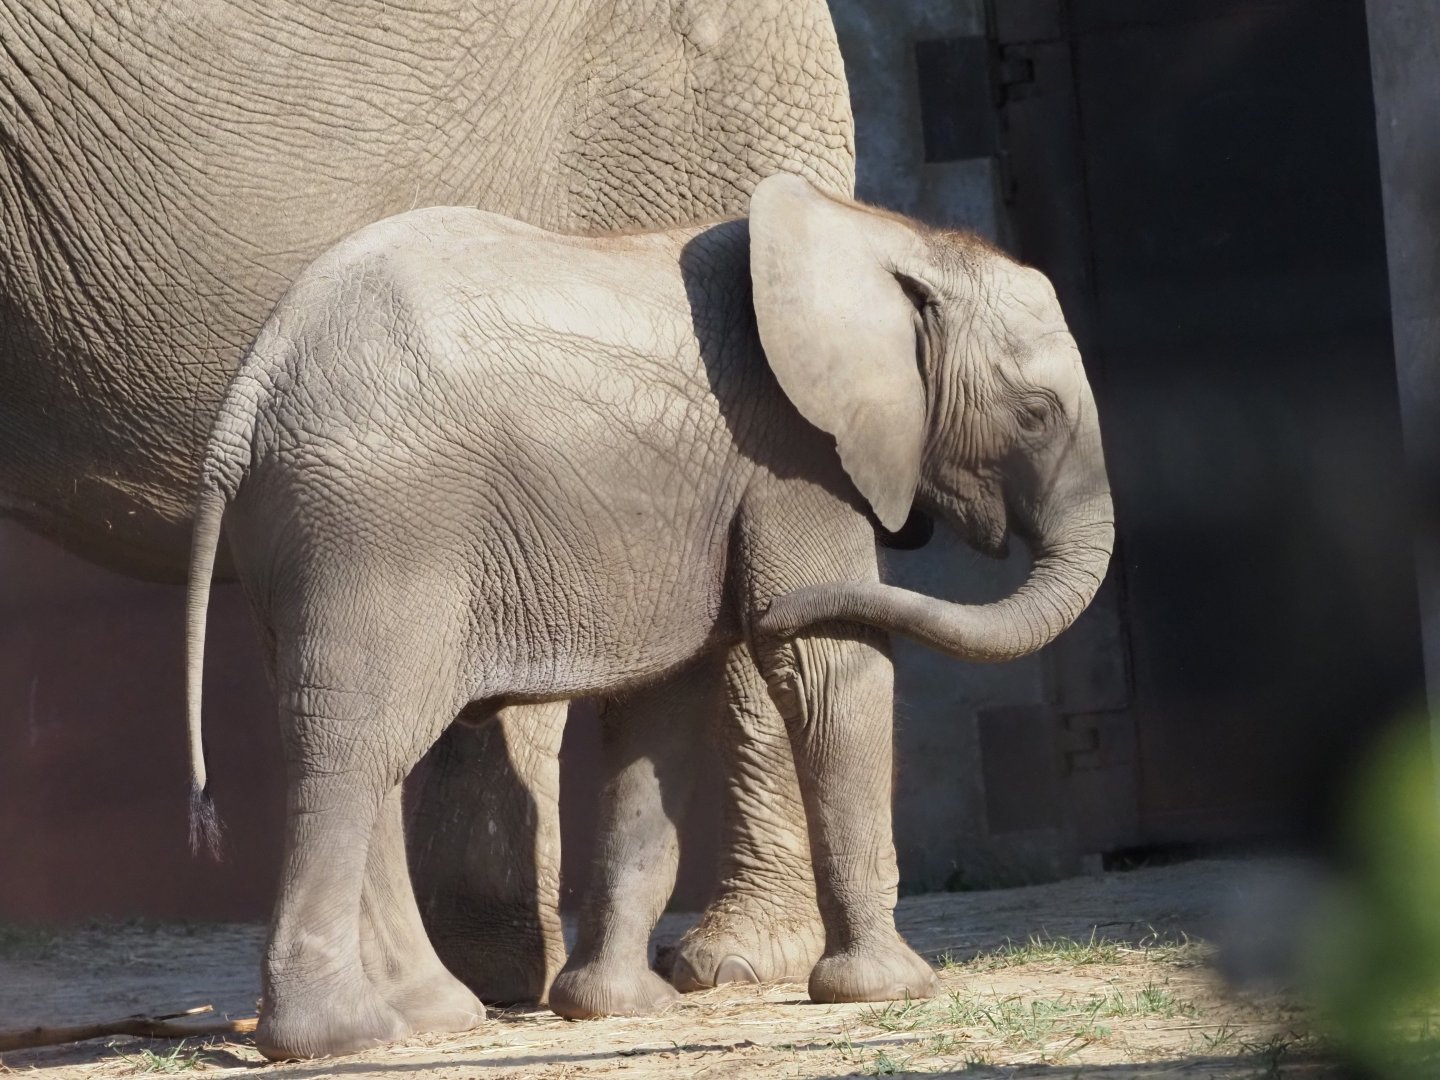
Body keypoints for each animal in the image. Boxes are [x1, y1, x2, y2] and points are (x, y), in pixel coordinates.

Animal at [183, 172, 1114, 1060]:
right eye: (1035, 414)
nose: (764, 605)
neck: (886, 236)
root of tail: (251, 390)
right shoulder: (792, 456)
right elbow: (829, 666)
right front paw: (891, 991)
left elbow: (663, 708)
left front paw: (614, 1007)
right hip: (375, 525)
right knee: (354, 749)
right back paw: (338, 1039)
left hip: (303, 540)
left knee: (360, 745)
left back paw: (429, 1018)